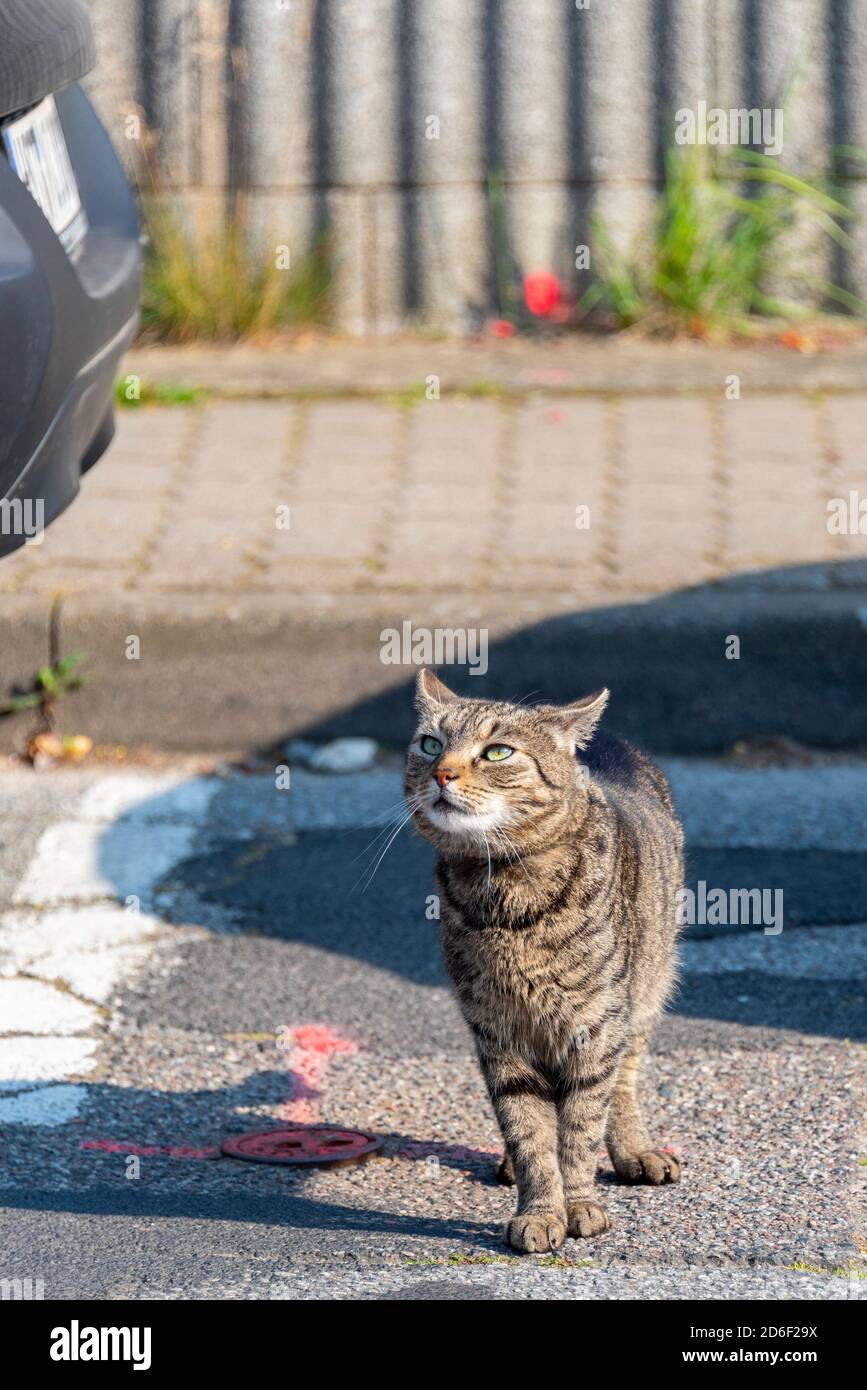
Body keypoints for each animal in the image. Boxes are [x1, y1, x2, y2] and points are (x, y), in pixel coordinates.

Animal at [405, 661, 683, 1251]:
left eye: (497, 752)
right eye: (429, 743)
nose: (442, 774)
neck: (506, 897)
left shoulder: (596, 1028)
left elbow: (579, 1128)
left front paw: (577, 1205)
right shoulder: (497, 1032)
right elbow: (529, 1130)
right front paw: (539, 1208)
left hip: (646, 994)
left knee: (621, 1086)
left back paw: (634, 1150)